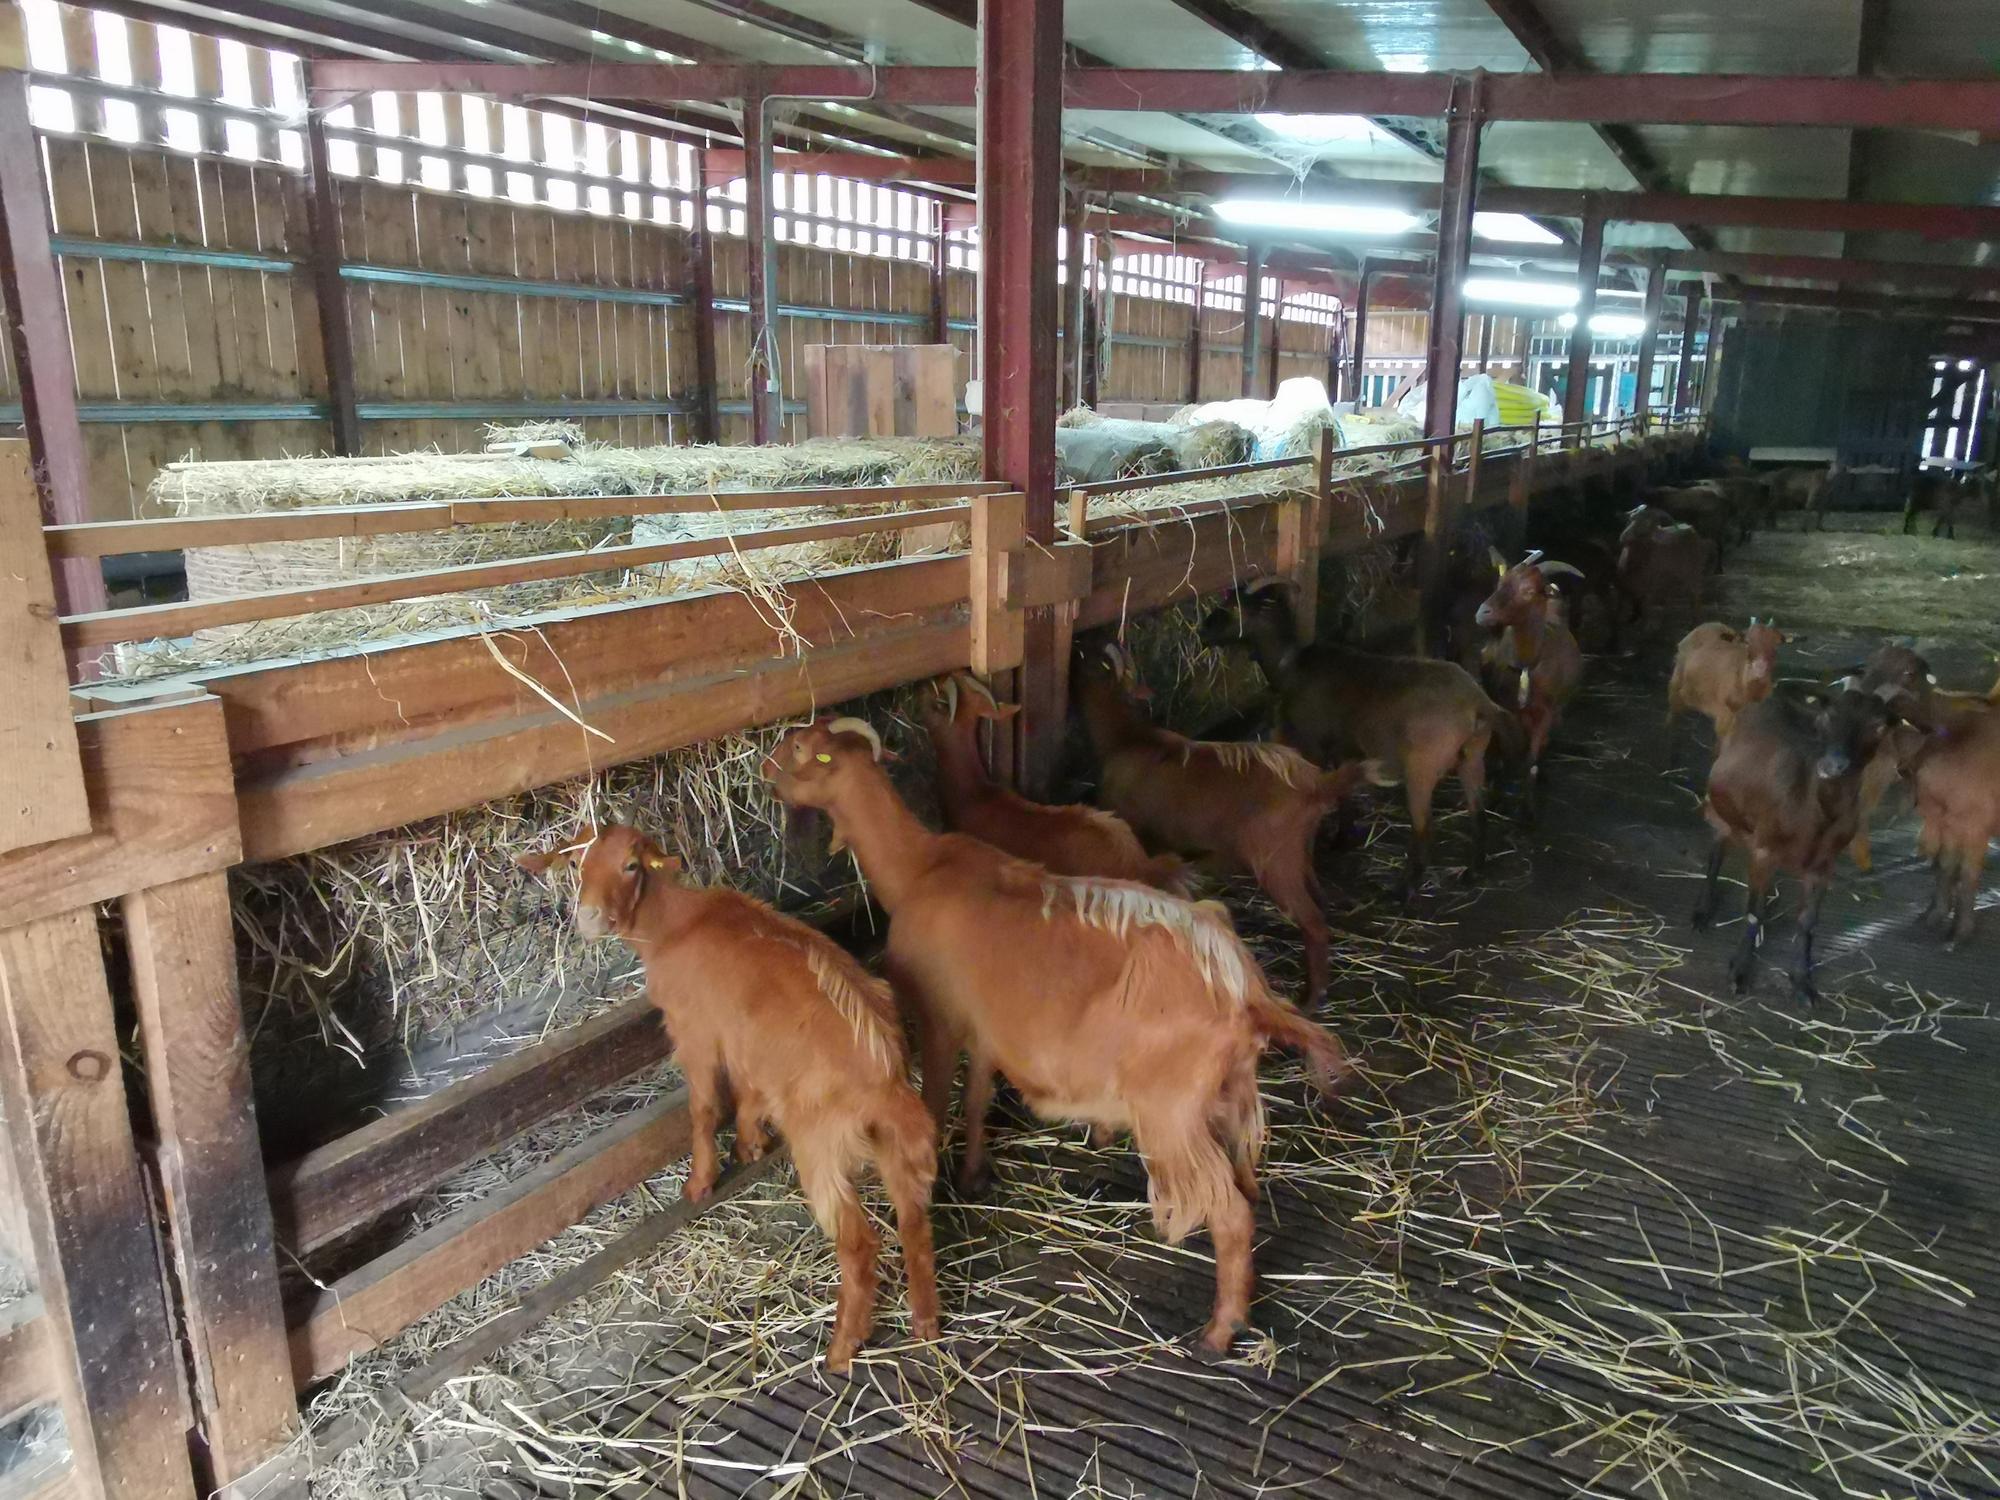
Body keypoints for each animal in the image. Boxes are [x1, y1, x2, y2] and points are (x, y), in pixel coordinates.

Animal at [524, 828, 944, 1384]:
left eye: (632, 866)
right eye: (577, 864)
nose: (589, 918)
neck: (676, 923)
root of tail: (887, 1081)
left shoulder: (696, 1032)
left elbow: (705, 1108)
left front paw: (701, 1180)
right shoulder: (742, 1035)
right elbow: (748, 1091)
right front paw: (750, 1145)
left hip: (822, 1151)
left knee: (858, 1245)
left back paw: (841, 1348)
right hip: (898, 1147)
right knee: (914, 1222)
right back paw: (925, 1323)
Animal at [756, 716, 1352, 1352]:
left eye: (798, 747)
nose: (765, 769)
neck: (920, 868)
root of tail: (1246, 991)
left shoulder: (938, 1020)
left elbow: (938, 1103)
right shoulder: (987, 1030)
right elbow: (976, 1100)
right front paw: (973, 1175)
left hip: (1172, 1112)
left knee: (1231, 1211)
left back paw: (1218, 1332)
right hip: (1229, 1096)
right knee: (1247, 1188)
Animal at [1080, 644, 1376, 1004]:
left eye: (1093, 660)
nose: (1080, 647)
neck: (1126, 738)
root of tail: (1317, 785)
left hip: (1275, 861)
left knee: (1314, 923)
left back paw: (1311, 997)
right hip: (1300, 852)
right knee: (1319, 899)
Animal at [1664, 620, 1792, 744]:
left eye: (1777, 644)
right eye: (1747, 642)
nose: (1760, 667)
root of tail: (1710, 623)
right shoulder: (1722, 714)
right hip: (1677, 682)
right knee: (1673, 712)